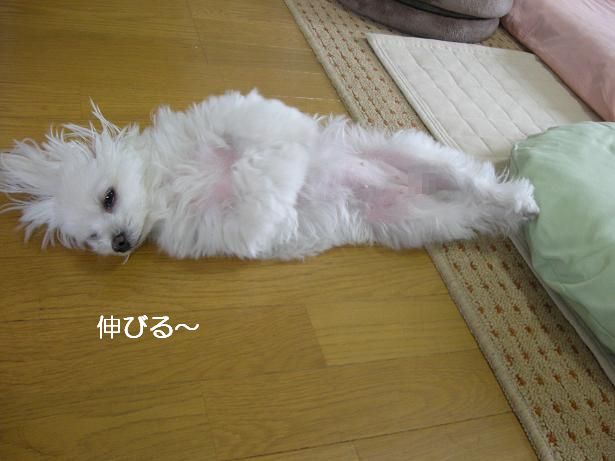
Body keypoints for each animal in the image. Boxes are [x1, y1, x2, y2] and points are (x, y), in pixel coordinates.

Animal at [0, 90, 538, 260]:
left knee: (471, 177)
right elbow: (257, 205)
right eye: (90, 238)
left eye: (109, 198)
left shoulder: (237, 117)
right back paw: (516, 211)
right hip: (420, 220)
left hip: (412, 153)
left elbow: (257, 142)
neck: (169, 183)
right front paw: (276, 192)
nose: (118, 244)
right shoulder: (222, 226)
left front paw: (272, 166)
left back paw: (519, 200)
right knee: (469, 206)